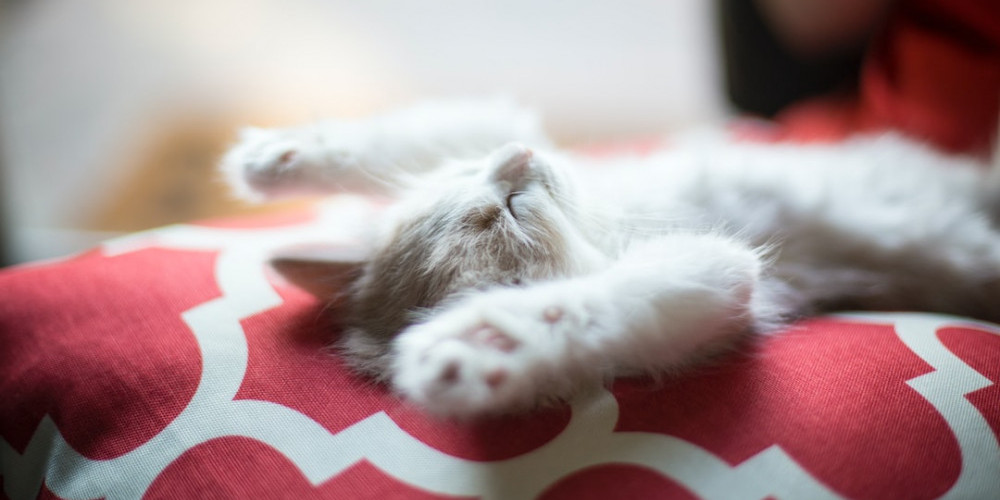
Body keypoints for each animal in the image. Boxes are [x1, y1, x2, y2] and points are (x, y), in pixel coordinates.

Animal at [221, 98, 1000, 418]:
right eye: (511, 207)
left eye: (482, 180)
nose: (518, 160)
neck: (604, 221)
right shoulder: (722, 273)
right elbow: (585, 305)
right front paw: (484, 343)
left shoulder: (502, 131)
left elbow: (424, 135)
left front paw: (276, 156)